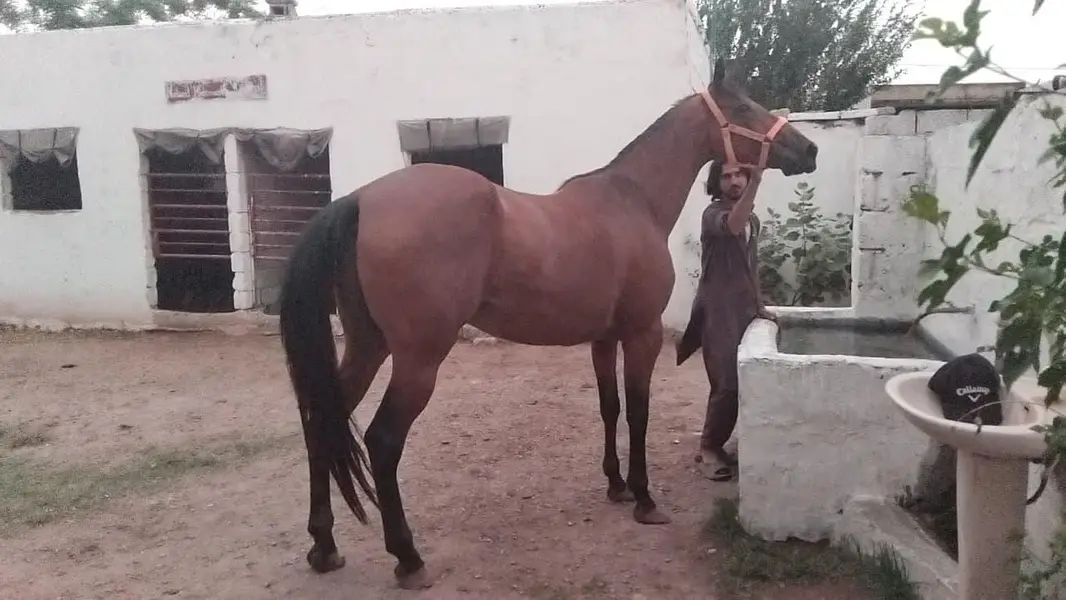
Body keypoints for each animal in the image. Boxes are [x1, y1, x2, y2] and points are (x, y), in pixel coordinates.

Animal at [277, 58, 819, 590]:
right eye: (745, 108)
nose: (808, 149)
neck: (633, 201)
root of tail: (360, 200)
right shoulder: (641, 335)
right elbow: (639, 412)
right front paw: (644, 498)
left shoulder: (604, 339)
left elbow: (610, 408)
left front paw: (617, 486)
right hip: (417, 361)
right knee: (383, 441)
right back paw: (408, 558)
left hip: (367, 347)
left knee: (319, 421)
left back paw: (323, 546)